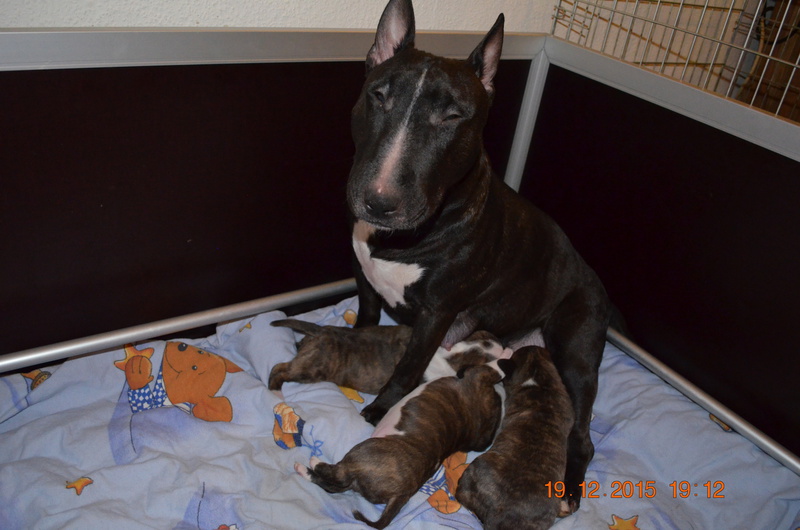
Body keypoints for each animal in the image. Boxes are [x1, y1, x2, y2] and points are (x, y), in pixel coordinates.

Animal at [269, 318, 510, 393]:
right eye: (485, 359)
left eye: (487, 335)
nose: (500, 344)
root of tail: (320, 330)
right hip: (310, 369)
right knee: (279, 369)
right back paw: (275, 392)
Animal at [295, 362, 505, 529]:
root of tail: (401, 493)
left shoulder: (480, 373)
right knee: (332, 485)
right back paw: (305, 471)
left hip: (361, 454)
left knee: (337, 475)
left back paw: (312, 463)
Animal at [346, 0, 611, 510]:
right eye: (378, 95)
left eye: (452, 116)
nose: (379, 201)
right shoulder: (363, 276)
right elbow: (366, 318)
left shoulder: (437, 312)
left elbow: (407, 367)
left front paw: (379, 408)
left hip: (576, 346)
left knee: (584, 431)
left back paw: (569, 490)